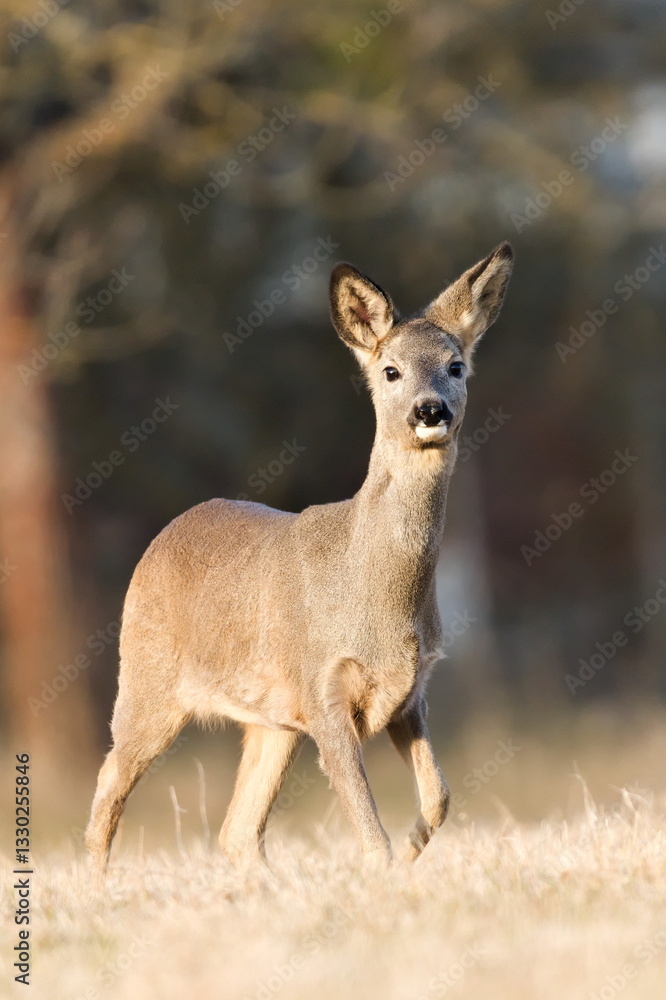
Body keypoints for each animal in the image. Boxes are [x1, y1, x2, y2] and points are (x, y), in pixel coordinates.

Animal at [86, 242, 513, 879]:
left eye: (455, 365)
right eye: (390, 371)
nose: (430, 410)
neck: (377, 595)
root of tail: (165, 535)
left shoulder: (409, 693)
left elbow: (439, 796)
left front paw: (413, 851)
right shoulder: (323, 689)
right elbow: (370, 831)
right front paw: (390, 869)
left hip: (270, 721)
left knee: (237, 830)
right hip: (146, 677)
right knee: (111, 777)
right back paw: (97, 886)